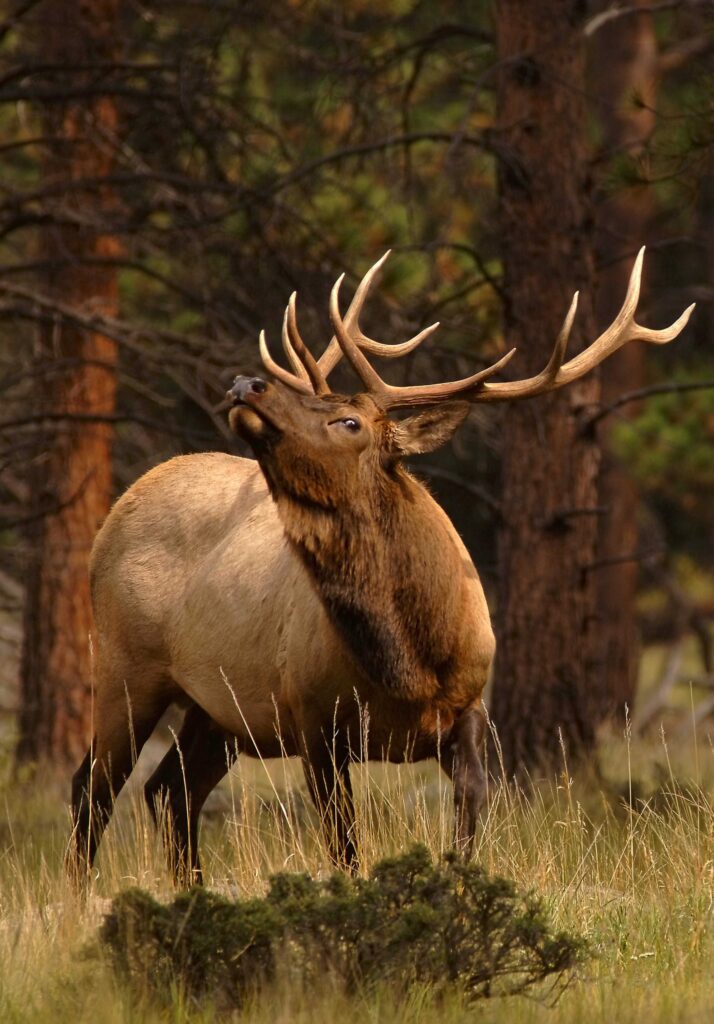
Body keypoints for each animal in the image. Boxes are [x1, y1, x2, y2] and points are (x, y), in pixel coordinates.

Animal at [66, 247, 692, 880]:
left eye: (349, 421)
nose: (247, 383)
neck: (410, 661)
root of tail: (117, 510)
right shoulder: (312, 721)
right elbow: (345, 848)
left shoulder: (469, 707)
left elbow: (471, 810)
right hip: (126, 666)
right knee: (93, 788)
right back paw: (81, 894)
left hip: (216, 712)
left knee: (169, 787)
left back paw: (190, 890)